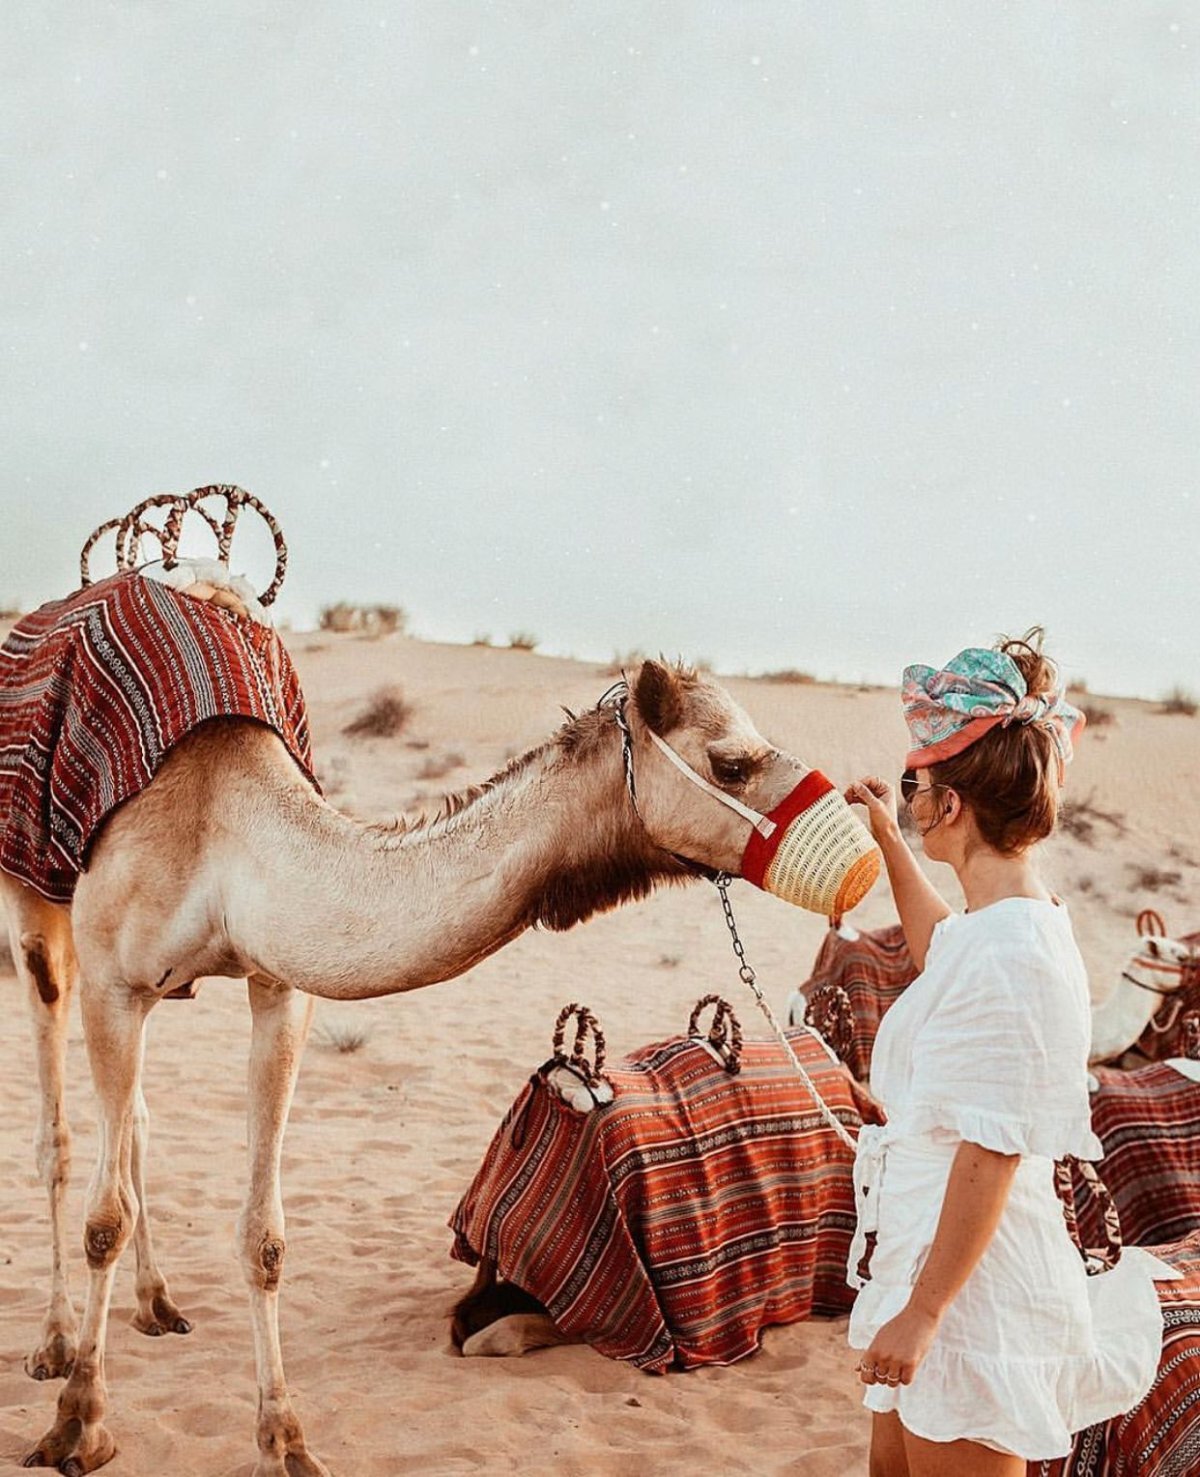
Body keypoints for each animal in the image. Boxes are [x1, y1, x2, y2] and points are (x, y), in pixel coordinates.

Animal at [3, 559, 872, 1475]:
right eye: (731, 763)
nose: (859, 859)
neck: (220, 825)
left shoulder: (280, 983)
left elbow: (263, 1235)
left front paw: (286, 1439)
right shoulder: (114, 980)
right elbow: (101, 1211)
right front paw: (78, 1424)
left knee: (133, 1122)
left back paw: (157, 1303)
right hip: (42, 917)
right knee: (61, 1134)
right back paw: (54, 1344)